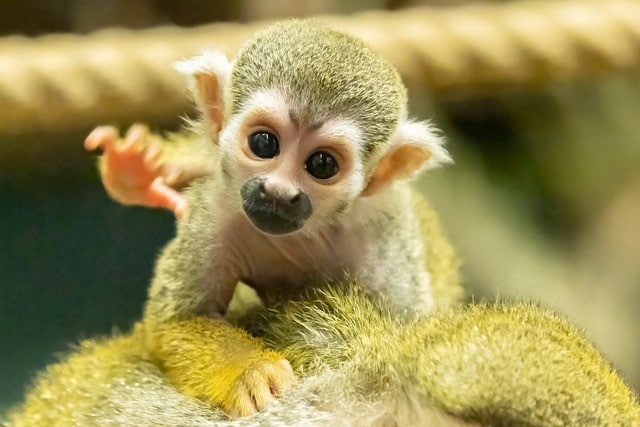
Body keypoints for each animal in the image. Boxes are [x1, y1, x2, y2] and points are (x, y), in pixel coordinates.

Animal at [85, 20, 458, 418]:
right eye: (264, 143)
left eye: (322, 164)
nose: (279, 193)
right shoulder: (216, 210)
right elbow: (181, 319)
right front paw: (248, 371)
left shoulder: (381, 239)